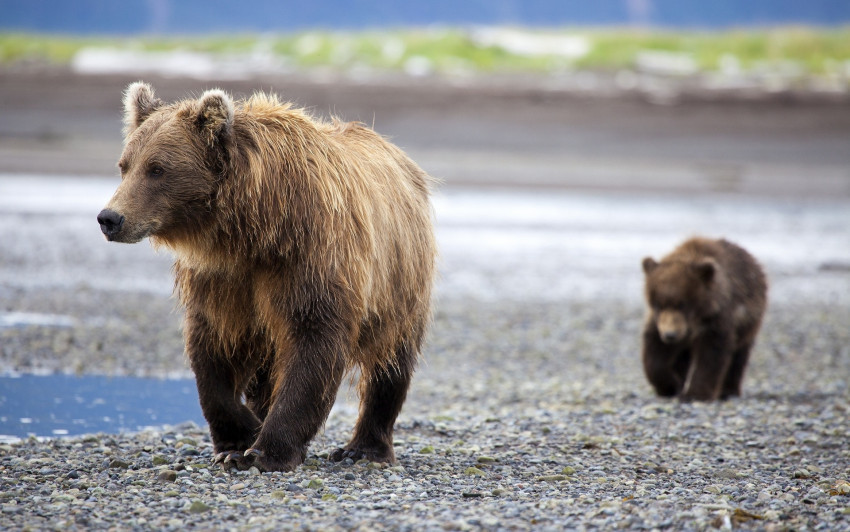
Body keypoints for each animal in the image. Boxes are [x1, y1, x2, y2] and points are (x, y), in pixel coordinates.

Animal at [99, 81, 438, 472]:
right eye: (125, 165)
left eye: (157, 168)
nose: (110, 218)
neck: (253, 229)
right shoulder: (223, 280)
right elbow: (212, 349)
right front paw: (238, 439)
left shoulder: (310, 258)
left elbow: (313, 343)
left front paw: (268, 449)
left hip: (400, 280)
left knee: (391, 361)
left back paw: (364, 448)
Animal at [640, 239, 764, 402]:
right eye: (658, 304)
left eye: (683, 304)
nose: (670, 335)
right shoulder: (659, 322)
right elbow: (655, 353)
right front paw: (671, 386)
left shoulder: (716, 319)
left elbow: (711, 354)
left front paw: (694, 394)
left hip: (747, 322)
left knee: (739, 356)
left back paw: (728, 391)